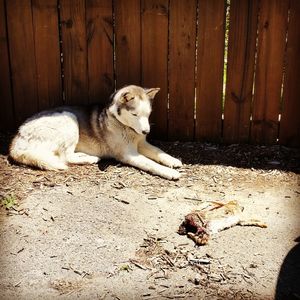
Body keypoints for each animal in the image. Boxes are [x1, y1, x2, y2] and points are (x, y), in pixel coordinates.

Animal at [9, 85, 182, 180]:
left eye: (148, 114)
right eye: (134, 114)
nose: (146, 131)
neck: (122, 125)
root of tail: (17, 137)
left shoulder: (141, 143)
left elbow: (158, 151)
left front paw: (173, 160)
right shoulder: (129, 154)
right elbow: (151, 163)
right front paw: (169, 172)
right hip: (69, 119)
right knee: (66, 156)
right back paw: (90, 158)